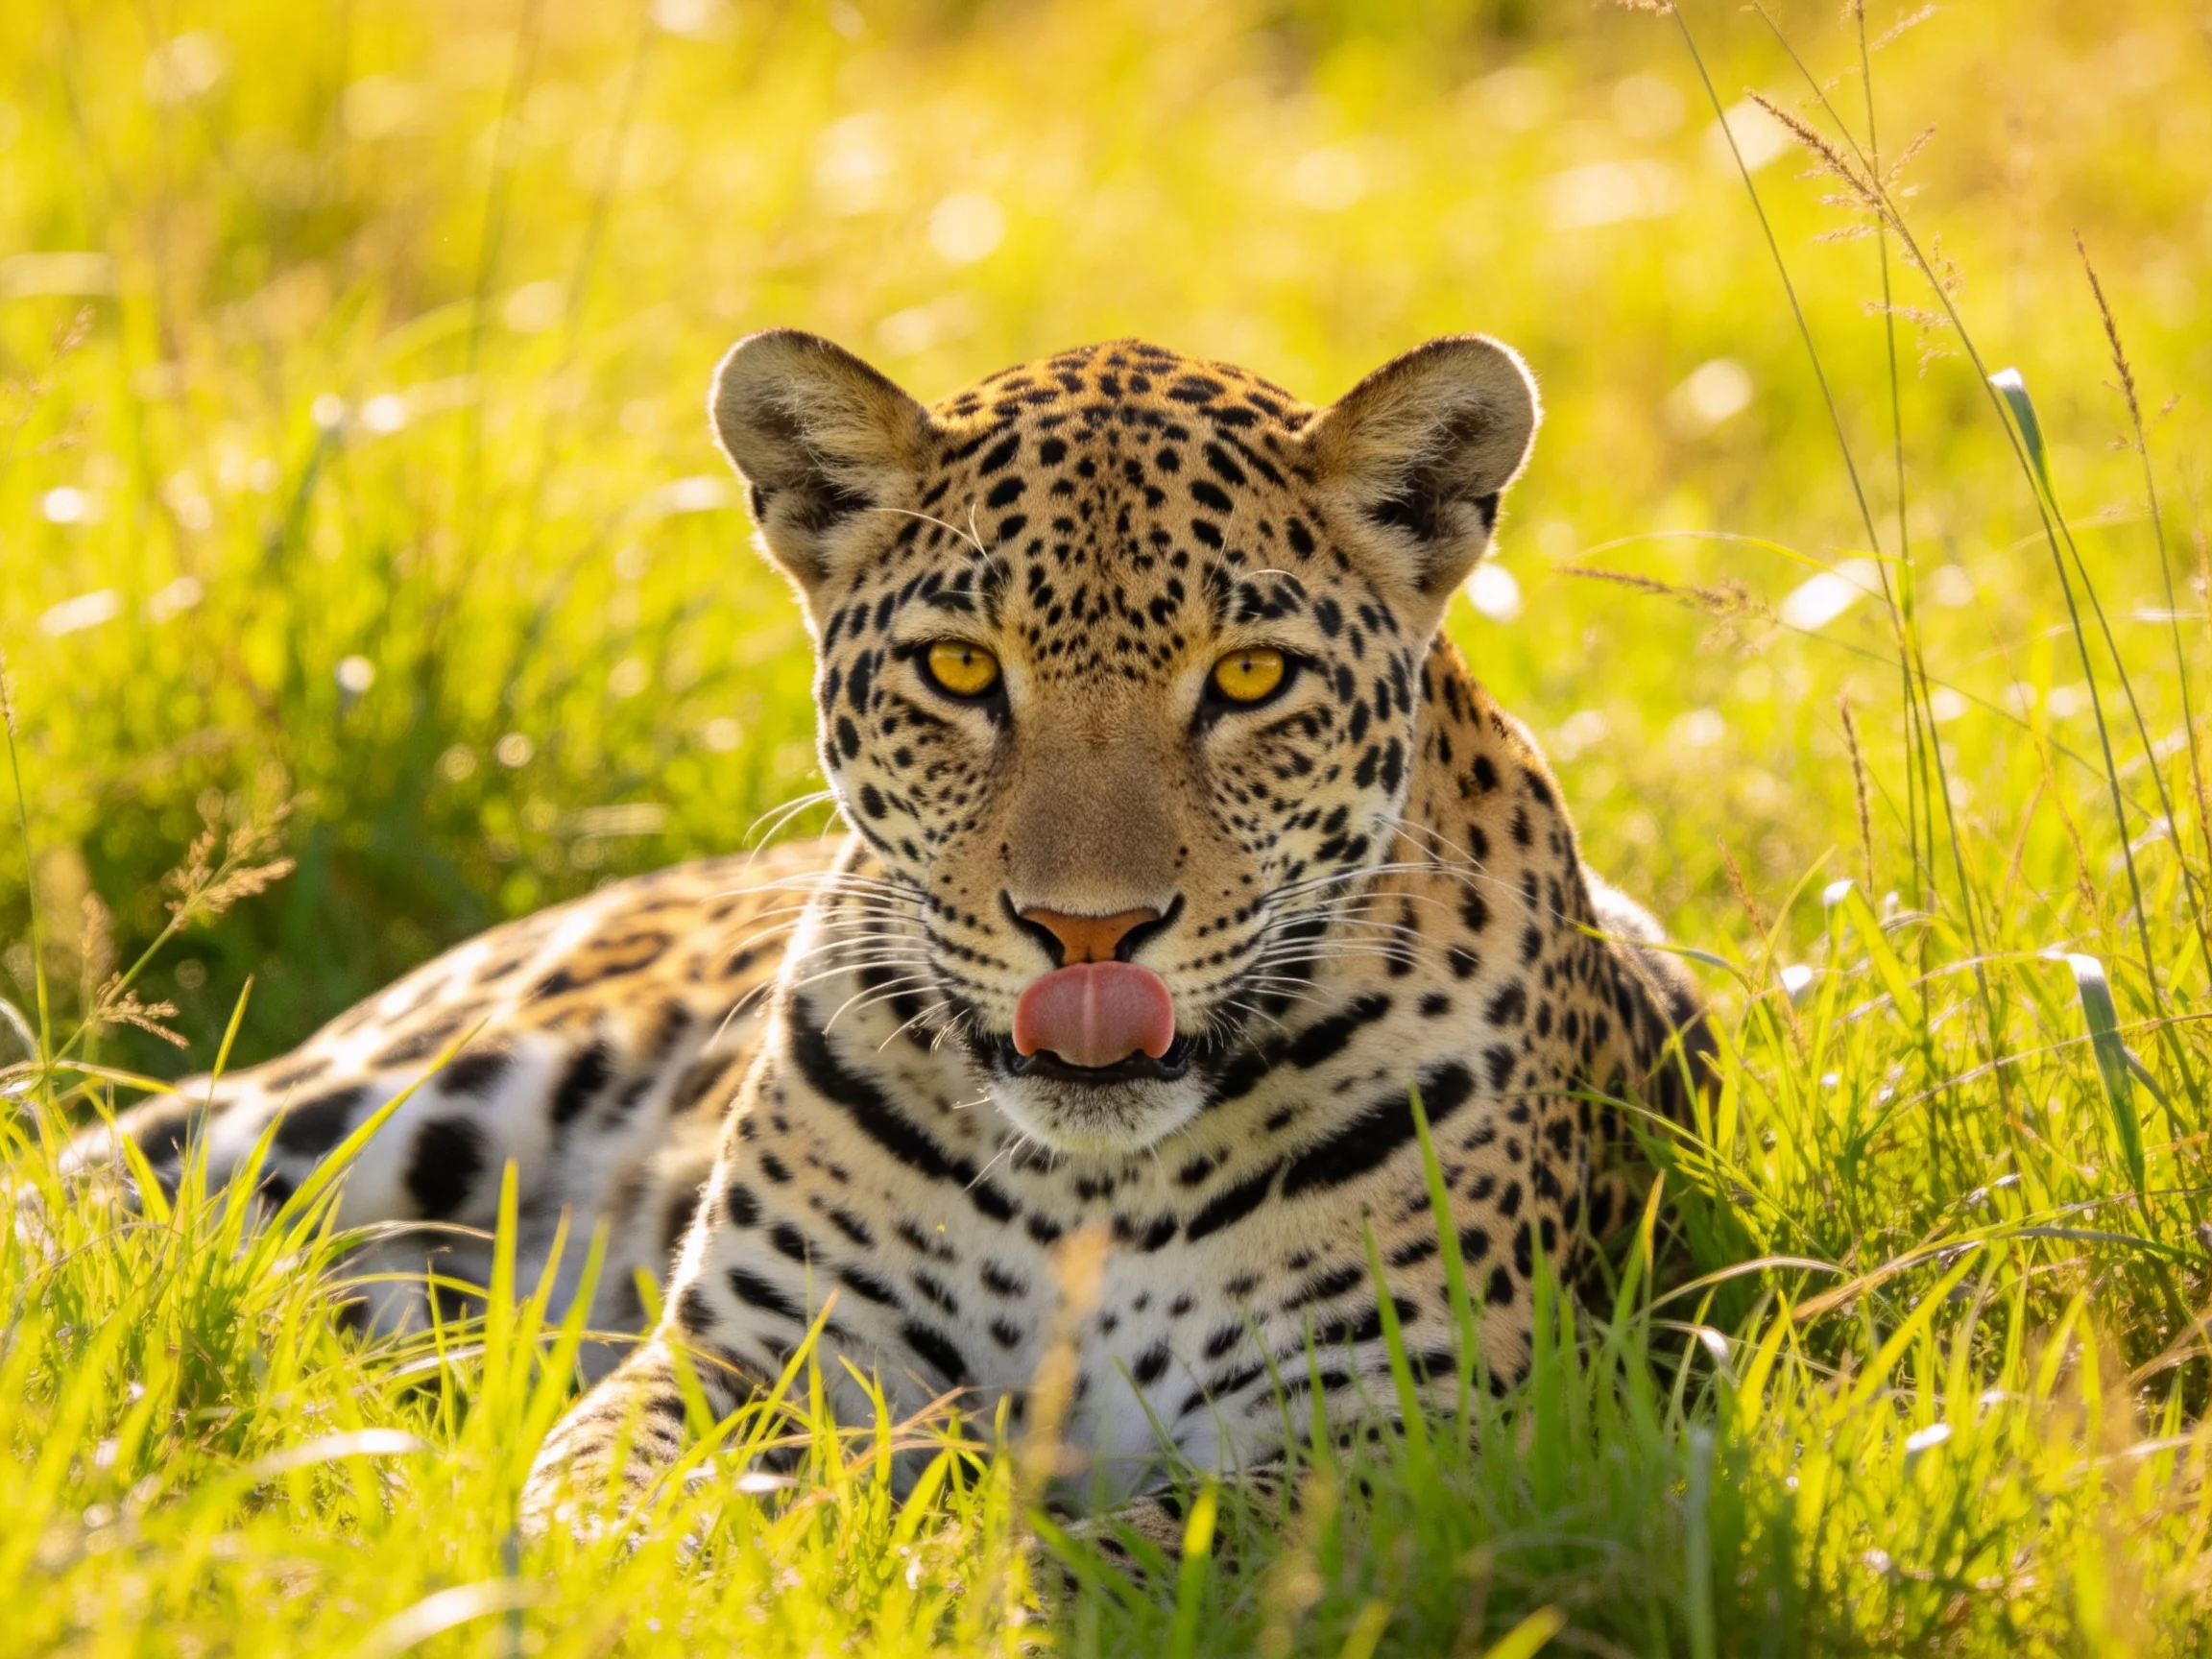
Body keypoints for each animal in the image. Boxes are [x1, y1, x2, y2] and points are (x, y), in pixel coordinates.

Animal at [71, 329, 1711, 1557]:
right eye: (960, 670)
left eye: (1250, 678)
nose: (1090, 931)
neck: (1094, 1189)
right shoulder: (757, 1350)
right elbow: (605, 1484)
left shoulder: (1410, 1443)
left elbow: (1113, 1555)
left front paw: (943, 1570)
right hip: (385, 1102)